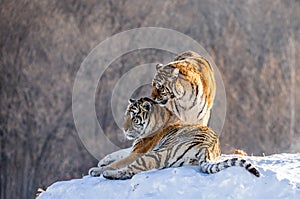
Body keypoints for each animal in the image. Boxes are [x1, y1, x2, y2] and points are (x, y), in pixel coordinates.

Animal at [89, 97, 260, 180]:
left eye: (134, 117)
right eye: (126, 116)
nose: (124, 129)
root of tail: (207, 147)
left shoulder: (139, 151)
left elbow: (119, 161)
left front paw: (99, 168)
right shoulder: (135, 148)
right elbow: (118, 153)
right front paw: (102, 161)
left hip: (156, 153)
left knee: (130, 170)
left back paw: (105, 174)